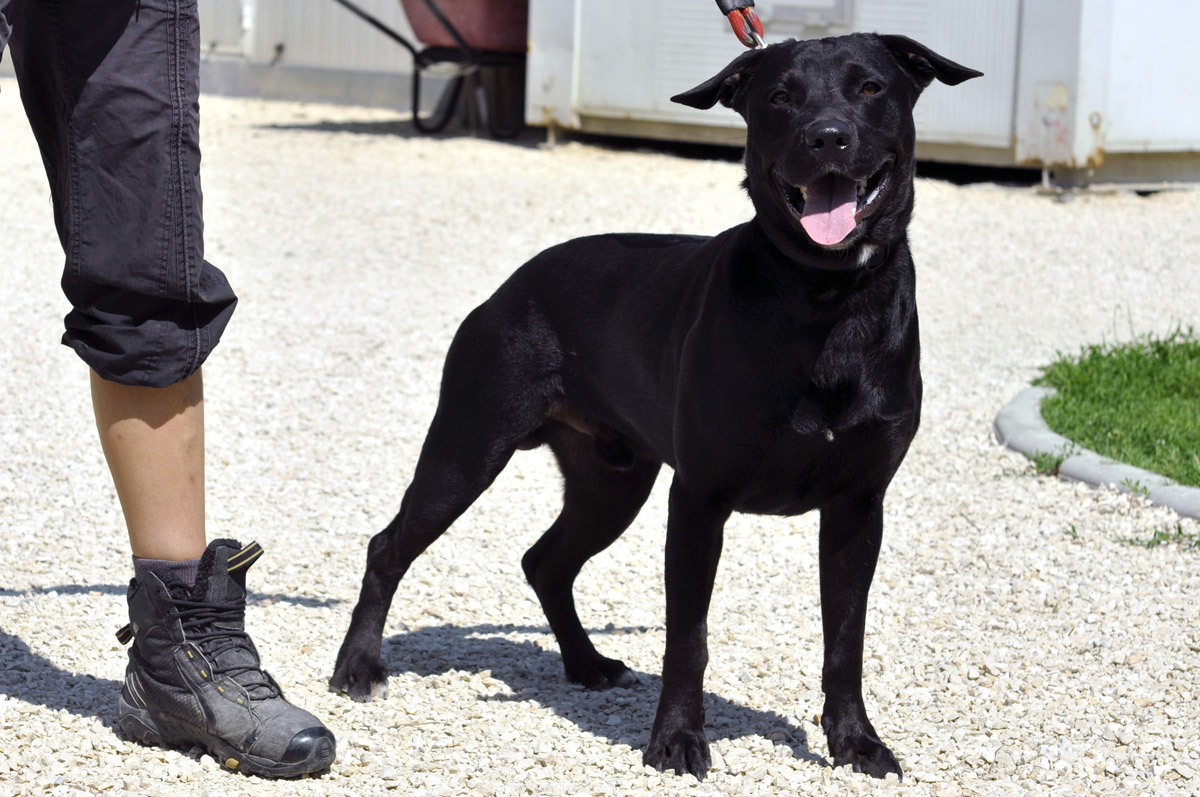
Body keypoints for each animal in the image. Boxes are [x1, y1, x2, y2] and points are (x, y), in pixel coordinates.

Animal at [333, 34, 979, 782]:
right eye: (779, 97)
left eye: (871, 87)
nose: (827, 136)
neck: (826, 302)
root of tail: (511, 285)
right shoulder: (698, 498)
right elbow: (688, 637)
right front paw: (676, 741)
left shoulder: (857, 507)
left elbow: (845, 640)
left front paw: (856, 743)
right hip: (468, 447)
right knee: (390, 546)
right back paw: (358, 667)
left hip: (611, 482)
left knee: (545, 561)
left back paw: (585, 664)